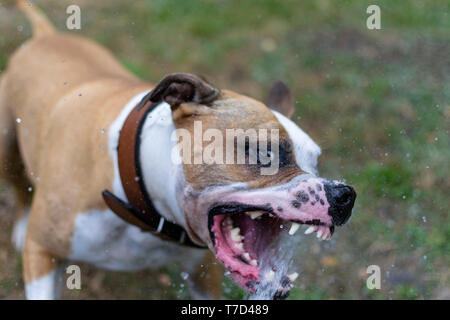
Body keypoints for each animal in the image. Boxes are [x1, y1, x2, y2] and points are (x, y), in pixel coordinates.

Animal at [0, 1, 358, 298]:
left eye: (315, 162)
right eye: (265, 153)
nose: (345, 195)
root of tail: (46, 36)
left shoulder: (203, 274)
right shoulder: (43, 253)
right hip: (7, 149)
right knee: (17, 185)